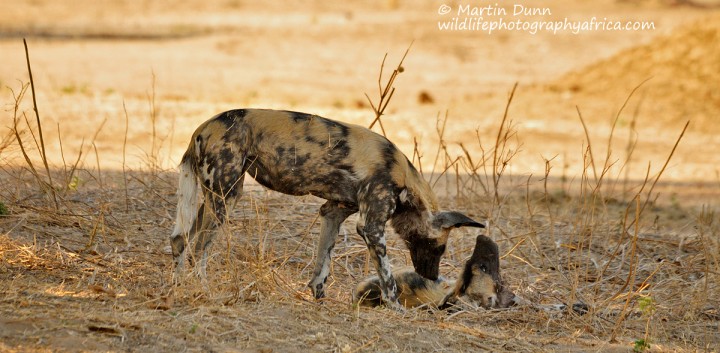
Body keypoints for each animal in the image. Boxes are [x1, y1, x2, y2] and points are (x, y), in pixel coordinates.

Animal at [169, 108, 484, 306]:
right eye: (439, 248)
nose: (430, 276)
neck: (403, 177)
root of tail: (201, 128)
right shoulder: (371, 229)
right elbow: (389, 280)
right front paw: (396, 309)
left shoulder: (333, 213)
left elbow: (323, 266)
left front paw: (319, 299)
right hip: (227, 196)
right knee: (199, 250)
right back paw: (202, 288)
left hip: (213, 199)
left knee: (180, 240)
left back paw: (179, 285)